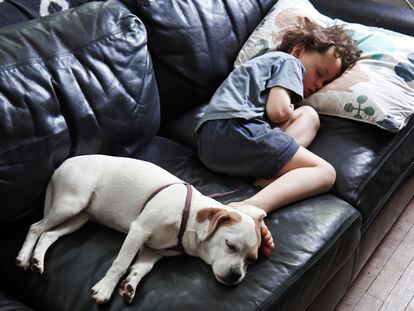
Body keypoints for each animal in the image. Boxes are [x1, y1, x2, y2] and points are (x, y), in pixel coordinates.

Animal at [16, 155, 266, 304]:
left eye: (251, 261)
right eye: (230, 245)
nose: (236, 276)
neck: (189, 218)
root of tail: (61, 166)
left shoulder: (153, 251)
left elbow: (140, 269)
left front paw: (130, 285)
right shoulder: (138, 231)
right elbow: (120, 264)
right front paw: (105, 289)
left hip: (78, 218)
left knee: (48, 234)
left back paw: (37, 260)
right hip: (70, 204)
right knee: (35, 227)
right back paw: (24, 256)